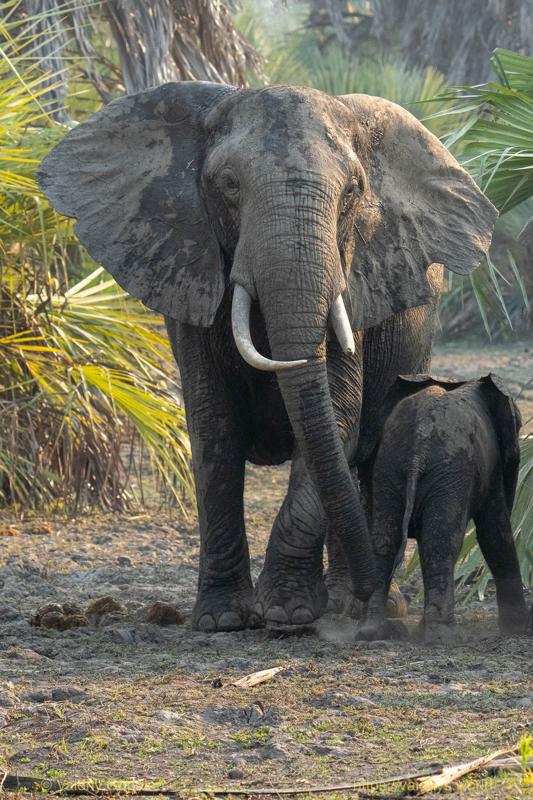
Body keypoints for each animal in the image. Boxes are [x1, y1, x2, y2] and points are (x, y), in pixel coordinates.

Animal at [37, 82, 497, 632]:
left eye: (352, 193)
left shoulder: (357, 279)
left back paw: (352, 603)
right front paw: (223, 621)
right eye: (229, 184)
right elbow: (213, 428)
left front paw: (289, 613)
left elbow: (335, 413)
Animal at [357, 374, 528, 644]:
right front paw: (519, 630)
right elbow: (495, 532)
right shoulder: (489, 466)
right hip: (450, 470)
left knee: (385, 542)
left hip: (389, 468)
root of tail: (417, 449)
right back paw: (444, 636)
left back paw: (374, 631)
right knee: (442, 541)